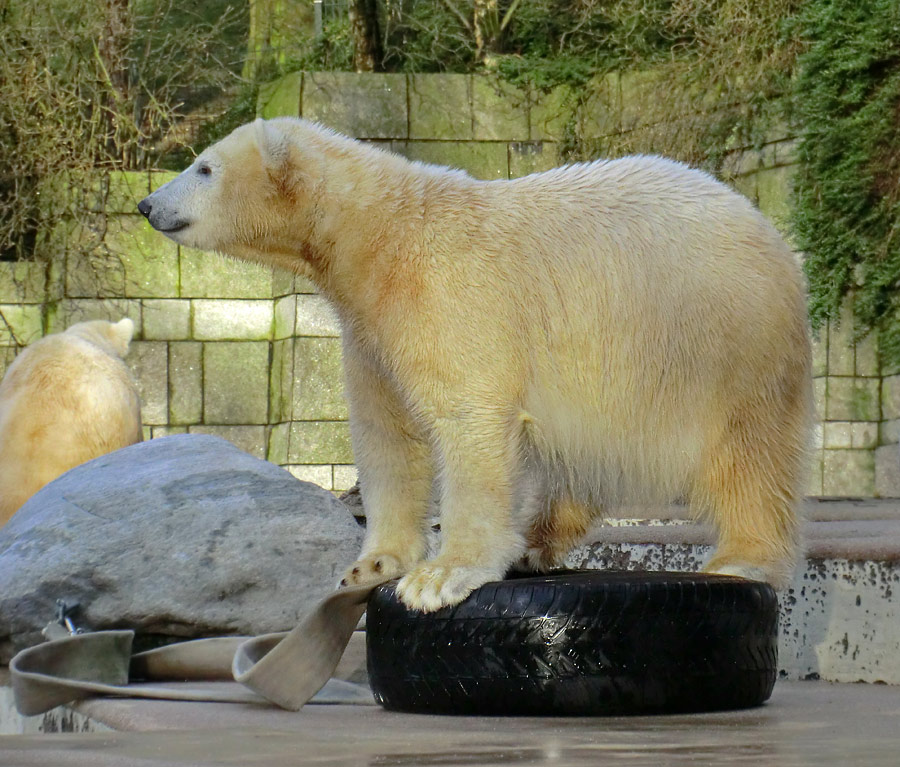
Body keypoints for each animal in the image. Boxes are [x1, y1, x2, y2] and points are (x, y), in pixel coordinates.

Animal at [137, 118, 812, 612]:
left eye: (204, 167)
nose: (146, 204)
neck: (381, 239)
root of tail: (768, 229)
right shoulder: (371, 330)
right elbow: (387, 435)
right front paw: (372, 564)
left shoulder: (450, 295)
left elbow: (467, 421)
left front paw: (439, 576)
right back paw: (538, 540)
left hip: (722, 339)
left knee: (748, 452)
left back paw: (742, 556)